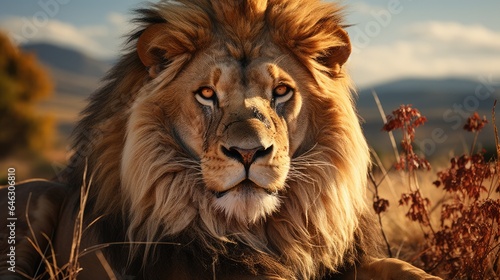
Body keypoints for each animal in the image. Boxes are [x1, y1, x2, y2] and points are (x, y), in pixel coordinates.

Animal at [0, 0, 440, 280]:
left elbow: (402, 267)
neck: (259, 231)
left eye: (281, 91)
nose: (248, 152)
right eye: (207, 94)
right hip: (37, 199)